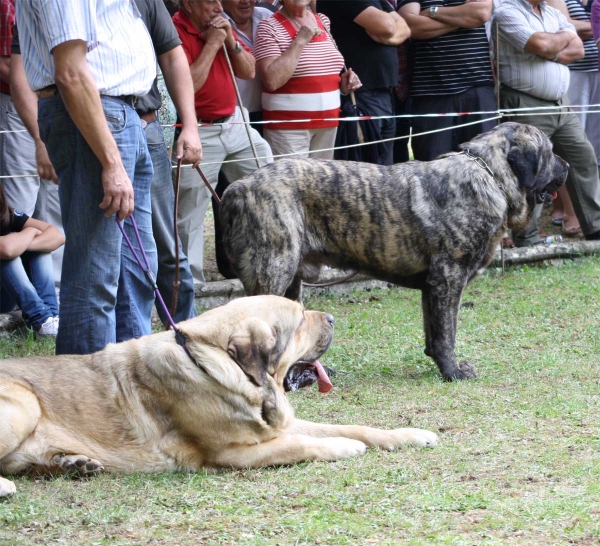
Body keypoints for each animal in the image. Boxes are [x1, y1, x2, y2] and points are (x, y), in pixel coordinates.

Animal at [0, 296, 436, 496]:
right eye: (299, 322)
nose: (330, 319)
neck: (213, 363)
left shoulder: (280, 424)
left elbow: (357, 426)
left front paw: (409, 434)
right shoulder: (233, 453)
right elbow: (301, 444)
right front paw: (343, 447)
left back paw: (74, 462)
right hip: (24, 404)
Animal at [220, 122, 568, 378]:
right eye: (550, 152)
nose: (564, 165)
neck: (489, 174)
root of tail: (237, 188)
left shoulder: (433, 286)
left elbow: (434, 333)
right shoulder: (448, 277)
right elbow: (448, 331)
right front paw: (454, 372)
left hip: (291, 281)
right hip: (274, 271)